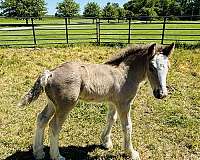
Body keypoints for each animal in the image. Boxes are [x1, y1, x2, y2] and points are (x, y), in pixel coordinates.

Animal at [18, 42, 175, 160]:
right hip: (65, 105)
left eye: (168, 67)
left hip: (52, 104)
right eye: (151, 67)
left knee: (42, 119)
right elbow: (127, 126)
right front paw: (131, 152)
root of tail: (50, 73)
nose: (161, 94)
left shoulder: (113, 102)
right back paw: (57, 156)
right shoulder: (124, 103)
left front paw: (105, 142)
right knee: (54, 126)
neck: (126, 73)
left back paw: (38, 152)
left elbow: (111, 119)